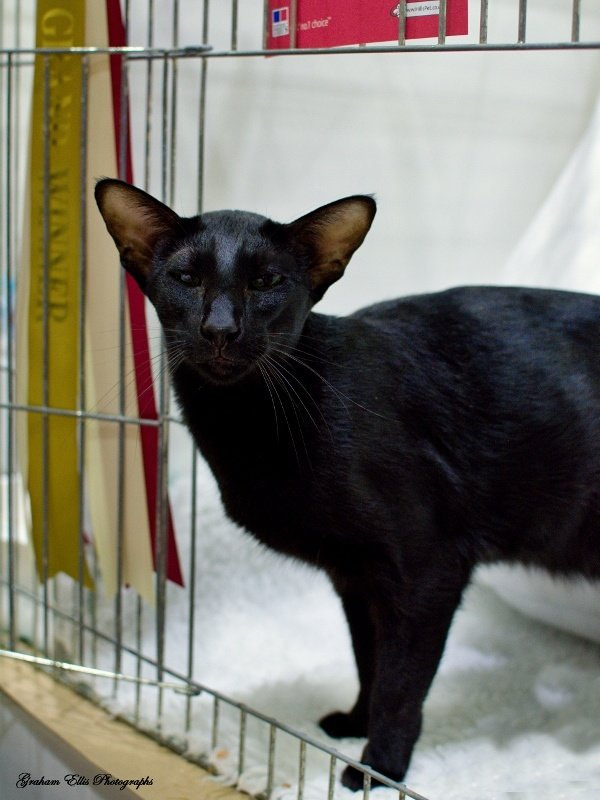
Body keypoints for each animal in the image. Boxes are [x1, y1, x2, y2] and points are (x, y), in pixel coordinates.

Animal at [96, 178, 600, 789]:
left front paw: (379, 768)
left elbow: (401, 687)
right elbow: (370, 661)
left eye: (266, 282)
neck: (249, 424)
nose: (220, 328)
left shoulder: (427, 574)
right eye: (187, 277)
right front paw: (355, 725)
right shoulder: (356, 578)